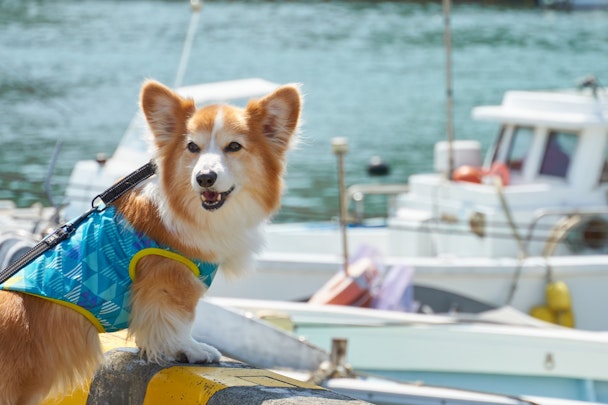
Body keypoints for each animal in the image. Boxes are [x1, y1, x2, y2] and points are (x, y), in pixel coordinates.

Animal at [0, 79, 302, 404]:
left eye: (234, 147)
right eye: (192, 147)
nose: (205, 178)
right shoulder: (170, 276)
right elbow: (178, 320)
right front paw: (191, 350)